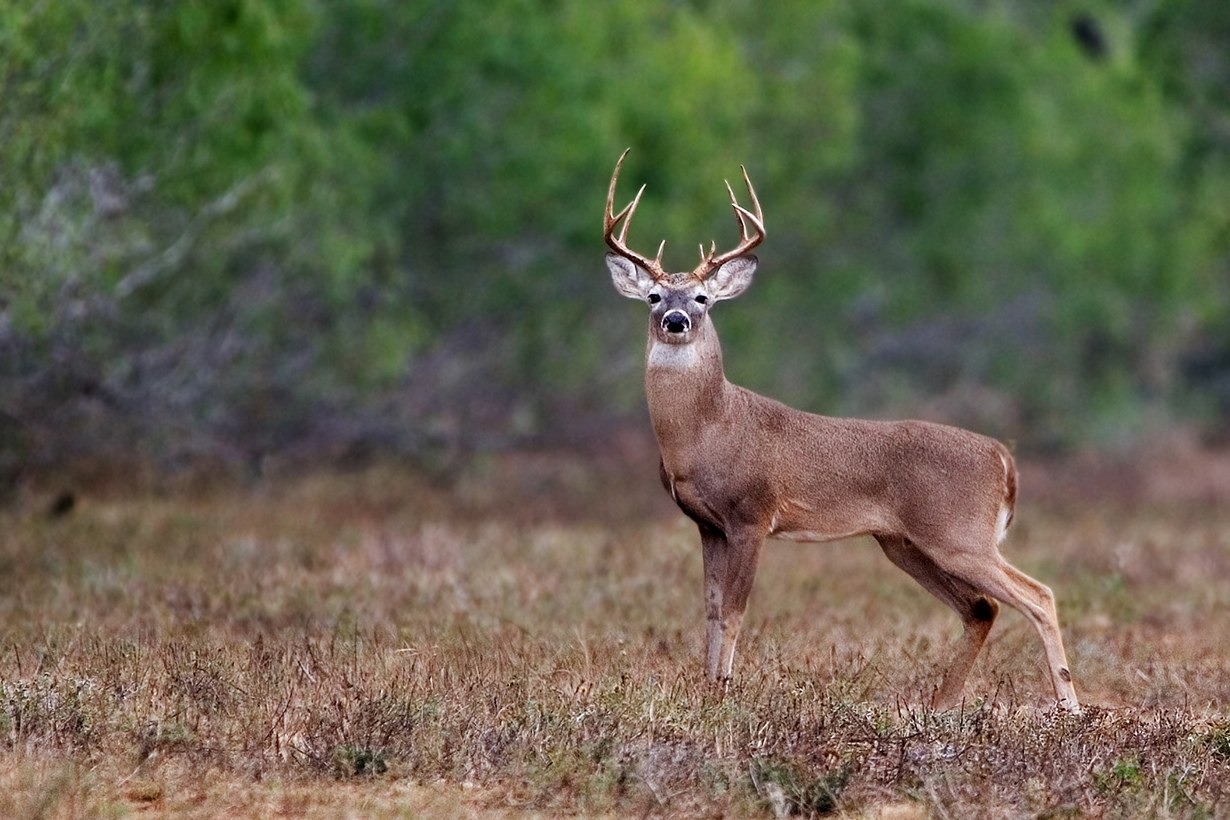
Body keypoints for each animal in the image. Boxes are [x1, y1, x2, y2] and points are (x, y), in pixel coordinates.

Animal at [602, 149, 1077, 713]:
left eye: (702, 298)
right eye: (653, 295)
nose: (675, 320)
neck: (706, 432)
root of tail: (1003, 459)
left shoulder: (753, 514)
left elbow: (735, 613)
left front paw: (723, 695)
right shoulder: (707, 524)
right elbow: (712, 613)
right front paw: (706, 692)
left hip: (960, 534)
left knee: (1038, 594)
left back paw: (1069, 707)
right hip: (903, 542)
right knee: (982, 608)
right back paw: (938, 706)